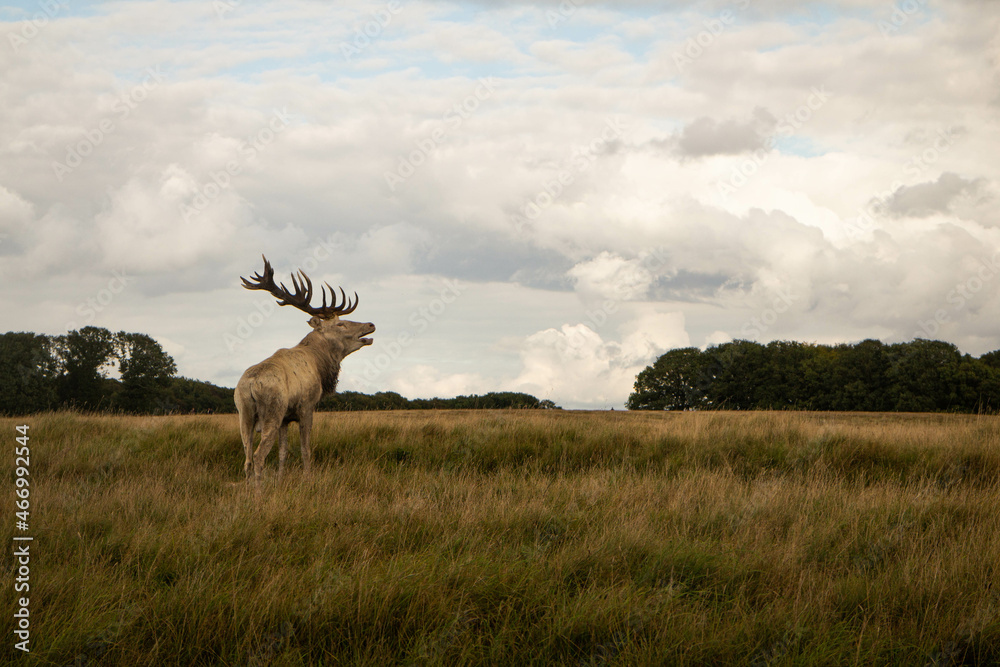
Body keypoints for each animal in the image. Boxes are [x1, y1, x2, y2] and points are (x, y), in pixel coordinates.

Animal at [234, 256, 375, 482]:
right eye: (340, 324)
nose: (370, 325)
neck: (320, 365)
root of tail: (250, 385)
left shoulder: (286, 418)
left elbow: (283, 452)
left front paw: (281, 479)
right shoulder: (307, 406)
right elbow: (305, 449)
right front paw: (308, 478)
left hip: (244, 413)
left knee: (247, 457)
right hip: (272, 410)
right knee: (258, 456)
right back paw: (258, 489)